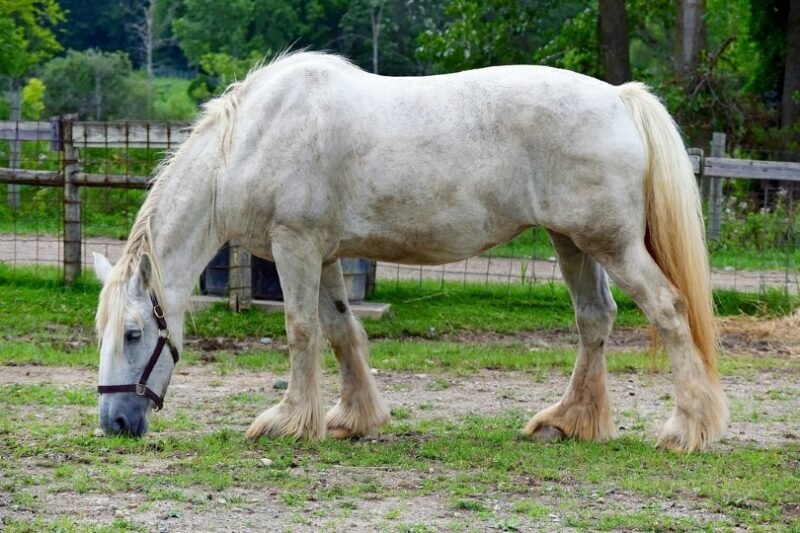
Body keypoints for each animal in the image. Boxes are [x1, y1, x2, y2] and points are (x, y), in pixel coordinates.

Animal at [92, 51, 724, 448]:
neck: (247, 141)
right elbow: (341, 331)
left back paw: (686, 429)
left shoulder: (295, 246)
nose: (114, 421)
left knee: (668, 310)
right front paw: (356, 419)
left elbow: (300, 331)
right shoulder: (324, 255)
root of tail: (620, 98)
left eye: (133, 333)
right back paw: (568, 422)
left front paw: (289, 421)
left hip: (610, 243)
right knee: (594, 319)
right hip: (572, 242)